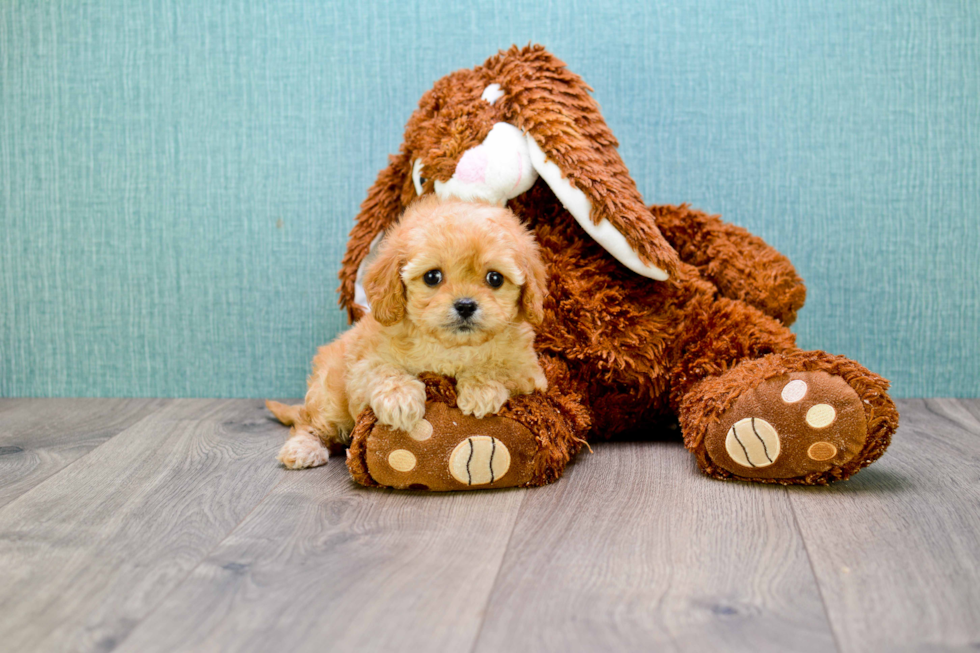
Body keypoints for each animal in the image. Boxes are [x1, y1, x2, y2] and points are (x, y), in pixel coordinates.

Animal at [268, 195, 548, 468]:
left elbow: (500, 368)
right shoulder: (361, 365)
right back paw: (303, 448)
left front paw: (481, 390)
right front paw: (400, 400)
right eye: (432, 277)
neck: (451, 347)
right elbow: (383, 370)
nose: (466, 305)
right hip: (330, 397)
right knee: (310, 423)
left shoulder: (530, 372)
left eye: (495, 278)